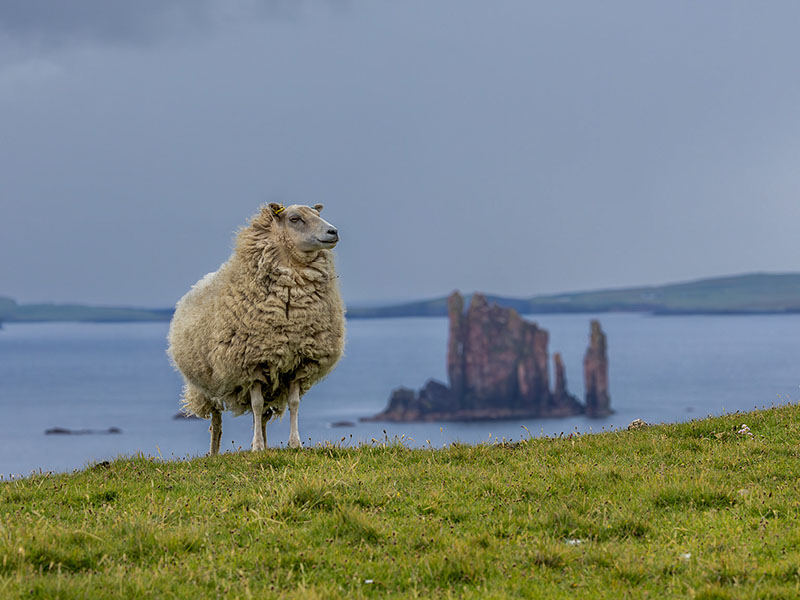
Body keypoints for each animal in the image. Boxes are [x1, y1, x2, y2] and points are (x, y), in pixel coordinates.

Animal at [167, 203, 345, 454]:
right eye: (294, 218)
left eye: (317, 214)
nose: (333, 232)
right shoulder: (251, 365)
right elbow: (257, 404)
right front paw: (257, 447)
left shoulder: (298, 363)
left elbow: (293, 404)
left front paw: (294, 443)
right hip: (206, 387)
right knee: (216, 421)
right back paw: (214, 453)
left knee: (259, 418)